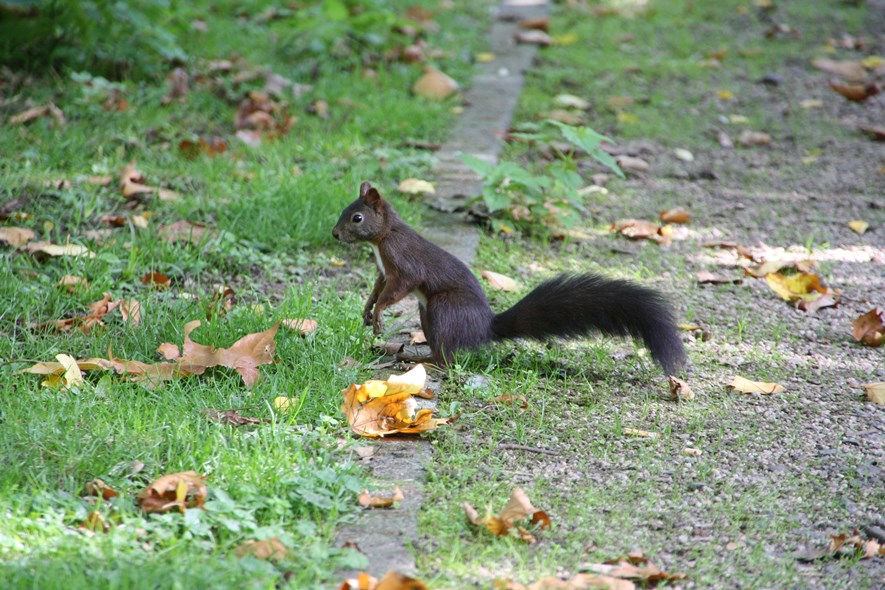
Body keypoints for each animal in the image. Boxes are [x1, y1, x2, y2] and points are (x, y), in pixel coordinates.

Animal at [334, 183, 688, 374]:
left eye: (357, 217)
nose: (335, 234)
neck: (383, 237)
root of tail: (483, 328)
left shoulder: (405, 267)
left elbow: (396, 291)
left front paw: (379, 315)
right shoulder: (383, 271)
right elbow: (377, 288)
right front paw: (367, 310)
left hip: (443, 309)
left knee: (447, 356)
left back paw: (420, 361)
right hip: (429, 313)